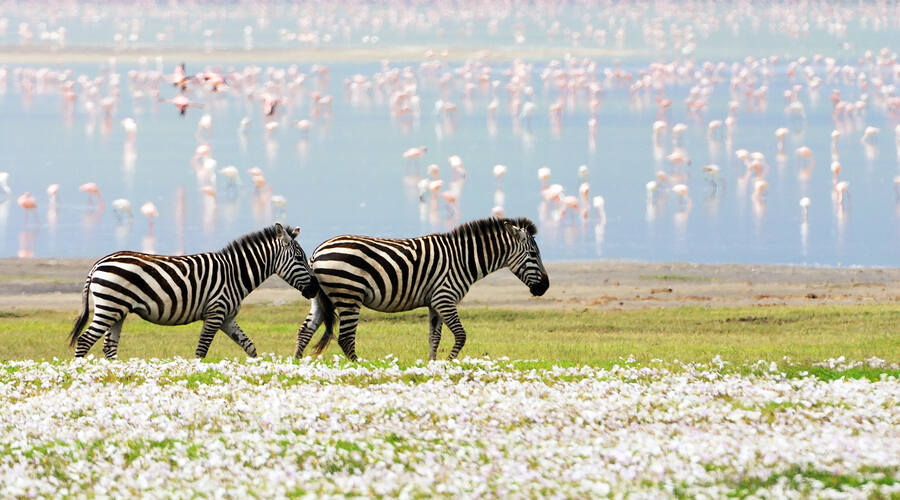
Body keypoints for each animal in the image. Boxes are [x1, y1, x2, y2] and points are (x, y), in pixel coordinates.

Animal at [68, 224, 318, 360]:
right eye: (299, 258)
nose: (316, 288)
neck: (234, 273)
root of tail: (98, 263)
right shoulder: (215, 313)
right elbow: (201, 350)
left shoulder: (227, 318)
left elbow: (250, 346)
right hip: (109, 307)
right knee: (85, 341)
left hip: (117, 311)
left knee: (109, 346)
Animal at [296, 217, 548, 362]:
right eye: (533, 254)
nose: (545, 287)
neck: (463, 259)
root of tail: (316, 252)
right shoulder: (445, 298)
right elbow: (461, 335)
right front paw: (448, 363)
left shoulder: (434, 303)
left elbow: (434, 337)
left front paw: (432, 364)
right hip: (349, 295)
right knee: (346, 338)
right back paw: (360, 366)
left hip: (320, 296)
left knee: (305, 330)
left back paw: (297, 365)